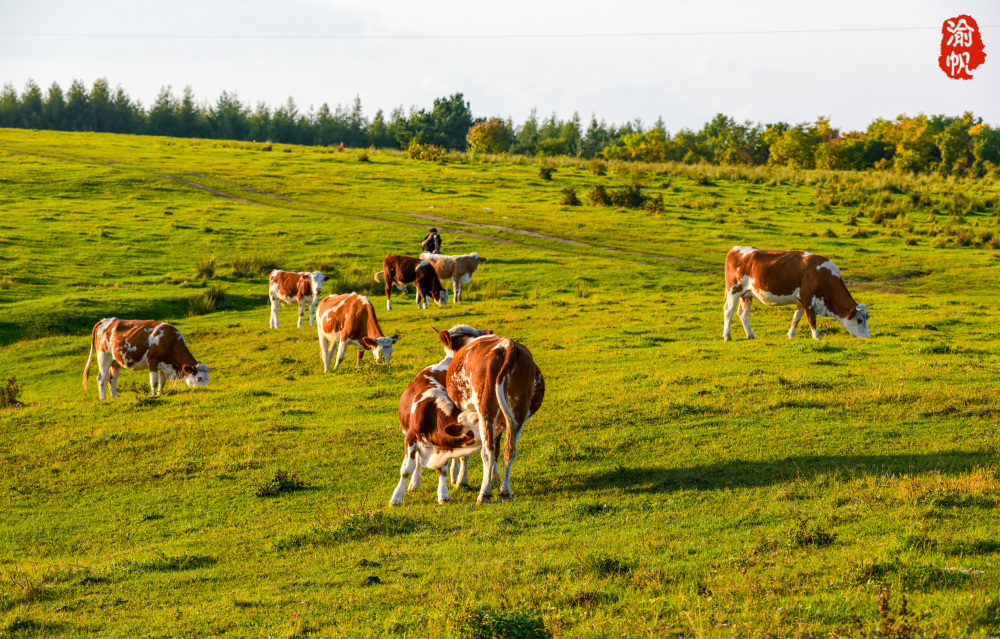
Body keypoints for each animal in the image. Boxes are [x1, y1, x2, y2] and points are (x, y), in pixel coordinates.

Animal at [83, 318, 211, 402]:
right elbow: (154, 382)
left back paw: (115, 397)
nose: (204, 391)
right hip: (104, 355)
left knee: (112, 379)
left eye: (207, 379)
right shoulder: (153, 361)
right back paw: (103, 399)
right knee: (101, 378)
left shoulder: (165, 365)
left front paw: (160, 393)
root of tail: (105, 320)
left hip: (115, 361)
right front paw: (153, 395)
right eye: (199, 378)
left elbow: (162, 381)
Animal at [388, 328, 494, 508]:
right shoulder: (410, 437)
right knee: (417, 461)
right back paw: (415, 483)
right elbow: (406, 469)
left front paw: (443, 494)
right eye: (475, 420)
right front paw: (396, 497)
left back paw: (458, 476)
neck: (432, 416)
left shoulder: (445, 444)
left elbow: (443, 470)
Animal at [442, 332, 544, 502]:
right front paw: (495, 476)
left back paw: (485, 493)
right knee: (509, 449)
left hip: (486, 409)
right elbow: (497, 446)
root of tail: (508, 345)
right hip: (518, 412)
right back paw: (504, 491)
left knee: (487, 450)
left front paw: (460, 480)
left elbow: (465, 451)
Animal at [724, 248, 872, 342]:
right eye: (859, 320)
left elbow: (796, 318)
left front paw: (790, 335)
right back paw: (727, 336)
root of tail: (735, 249)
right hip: (734, 290)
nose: (867, 337)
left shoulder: (802, 302)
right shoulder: (808, 298)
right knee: (728, 311)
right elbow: (811, 319)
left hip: (746, 294)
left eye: (867, 318)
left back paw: (750, 335)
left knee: (743, 314)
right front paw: (817, 336)